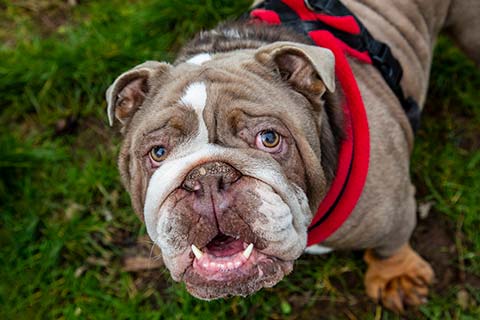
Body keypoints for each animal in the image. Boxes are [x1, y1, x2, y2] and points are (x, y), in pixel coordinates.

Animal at [106, 0, 480, 314]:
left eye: (269, 139)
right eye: (158, 153)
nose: (208, 178)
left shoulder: (393, 209)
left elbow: (391, 243)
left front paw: (396, 278)